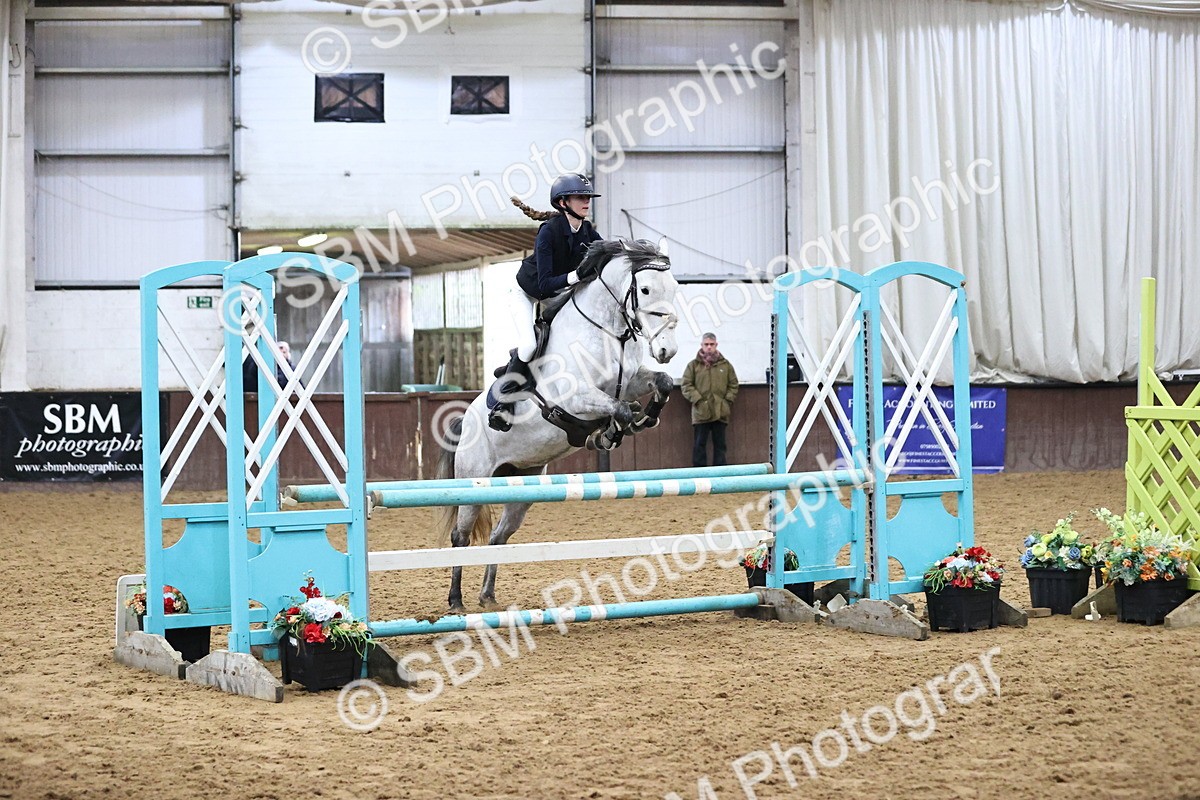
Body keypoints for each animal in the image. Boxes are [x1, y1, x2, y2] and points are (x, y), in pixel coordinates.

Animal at [436, 238, 681, 613]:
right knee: (461, 536)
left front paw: (645, 416)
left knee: (498, 537)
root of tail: (465, 423)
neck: (607, 332)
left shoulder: (631, 381)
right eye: (645, 289)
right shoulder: (575, 396)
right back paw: (456, 601)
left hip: (522, 486)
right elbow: (619, 409)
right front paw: (611, 432)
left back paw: (487, 595)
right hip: (473, 481)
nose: (668, 349)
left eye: (675, 287)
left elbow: (661, 383)